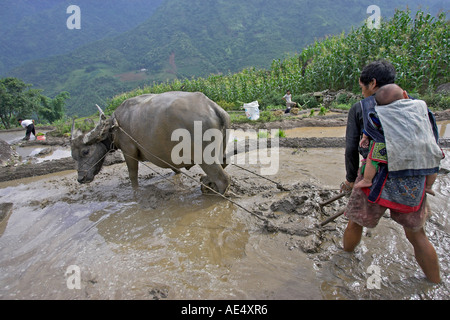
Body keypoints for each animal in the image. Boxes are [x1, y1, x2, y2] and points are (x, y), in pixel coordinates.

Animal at [71, 91, 232, 194]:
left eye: (85, 151)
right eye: (73, 156)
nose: (80, 179)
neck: (115, 126)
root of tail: (213, 107)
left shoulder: (128, 151)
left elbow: (132, 175)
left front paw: (136, 190)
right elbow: (175, 169)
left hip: (204, 157)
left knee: (223, 179)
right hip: (220, 150)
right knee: (224, 163)